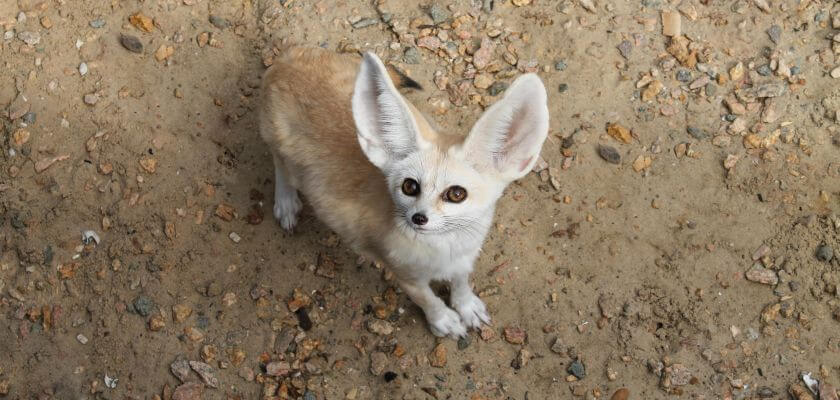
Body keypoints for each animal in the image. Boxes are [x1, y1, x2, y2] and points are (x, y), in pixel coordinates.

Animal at [262, 47, 552, 338]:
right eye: (410, 186)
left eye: (456, 194)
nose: (418, 218)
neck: (446, 249)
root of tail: (293, 55)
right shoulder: (405, 275)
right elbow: (428, 299)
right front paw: (444, 320)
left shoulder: (465, 260)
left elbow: (461, 283)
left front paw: (467, 306)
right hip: (283, 151)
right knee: (279, 164)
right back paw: (286, 201)